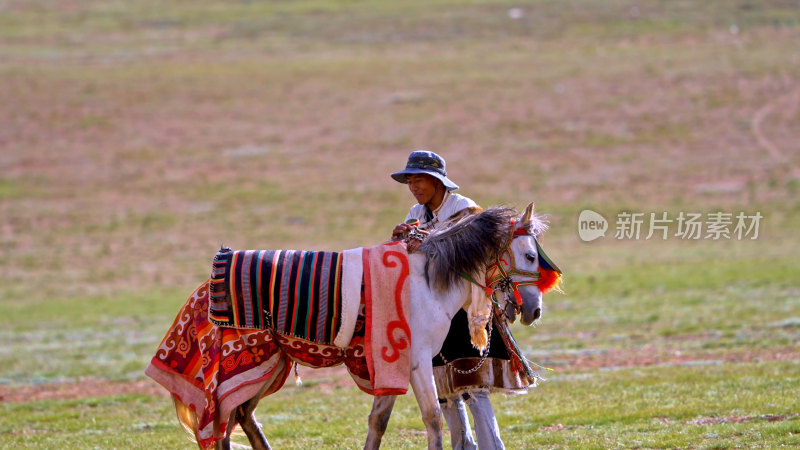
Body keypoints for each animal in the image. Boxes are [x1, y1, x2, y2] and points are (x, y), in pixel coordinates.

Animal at [148, 204, 552, 450]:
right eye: (530, 255)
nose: (534, 310)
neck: (429, 281)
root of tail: (205, 287)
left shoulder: (395, 364)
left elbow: (379, 420)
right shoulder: (417, 361)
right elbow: (433, 418)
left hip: (271, 364)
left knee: (241, 418)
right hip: (249, 361)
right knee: (224, 421)